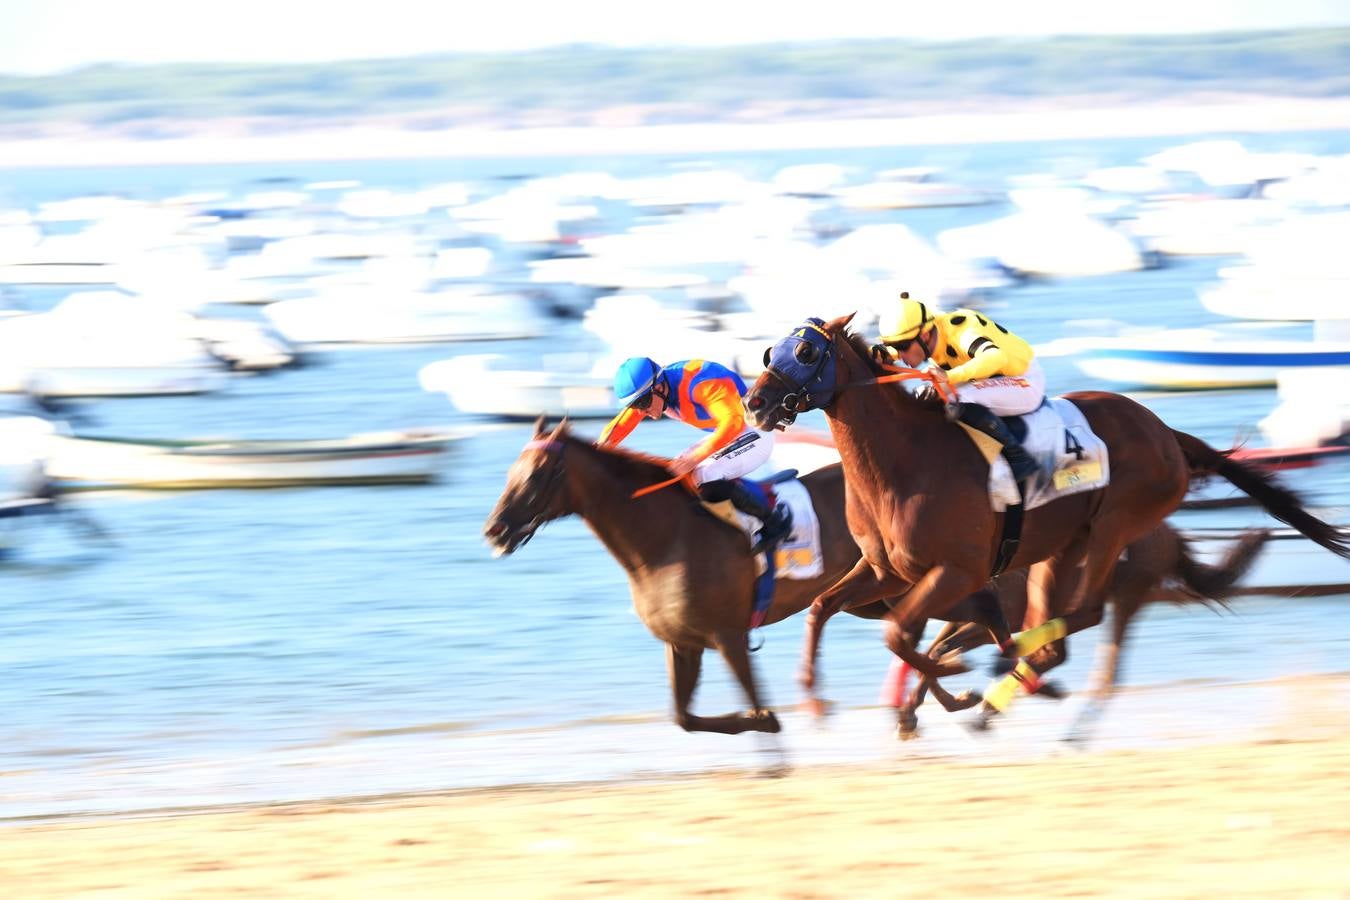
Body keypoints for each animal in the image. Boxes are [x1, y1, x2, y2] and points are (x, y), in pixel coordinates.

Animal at [745, 313, 1350, 728]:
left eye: (806, 350)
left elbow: (899, 633)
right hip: (1061, 546)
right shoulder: (887, 571)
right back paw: (1012, 674)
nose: (755, 402)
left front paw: (954, 680)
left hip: (1114, 526)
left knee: (1083, 612)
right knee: (1057, 625)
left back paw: (1010, 670)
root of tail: (1166, 432)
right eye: (772, 349)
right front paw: (812, 694)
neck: (906, 459)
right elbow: (823, 609)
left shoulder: (956, 571)